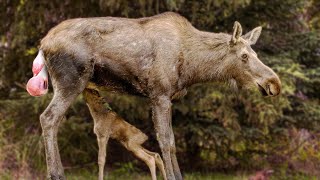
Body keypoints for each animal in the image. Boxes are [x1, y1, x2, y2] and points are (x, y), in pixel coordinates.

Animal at [29, 12, 280, 180]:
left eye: (255, 54)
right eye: (244, 56)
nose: (274, 83)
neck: (193, 68)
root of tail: (43, 44)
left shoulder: (165, 97)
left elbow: (171, 141)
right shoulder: (159, 94)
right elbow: (166, 140)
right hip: (70, 81)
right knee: (48, 118)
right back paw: (56, 173)